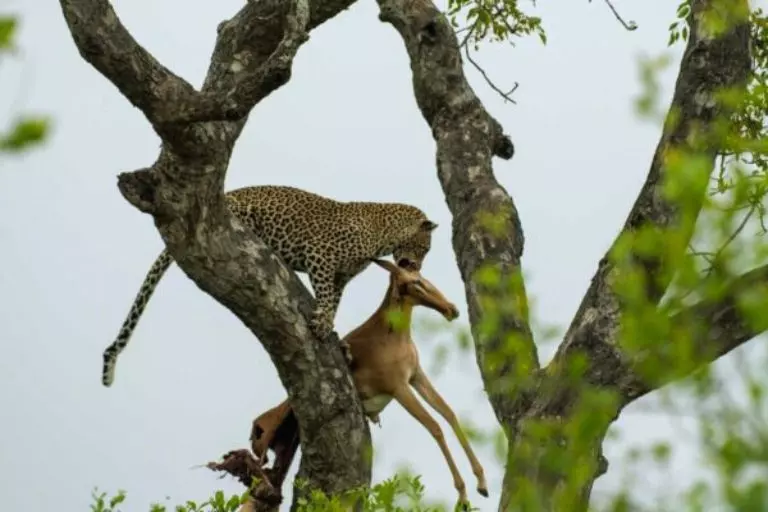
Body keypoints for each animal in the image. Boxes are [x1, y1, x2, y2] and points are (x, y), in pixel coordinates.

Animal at [102, 186, 438, 386]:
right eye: (425, 248)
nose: (418, 268)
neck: (383, 237)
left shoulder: (340, 276)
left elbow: (334, 301)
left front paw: (335, 334)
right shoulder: (321, 256)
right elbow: (325, 297)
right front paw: (323, 324)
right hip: (239, 210)